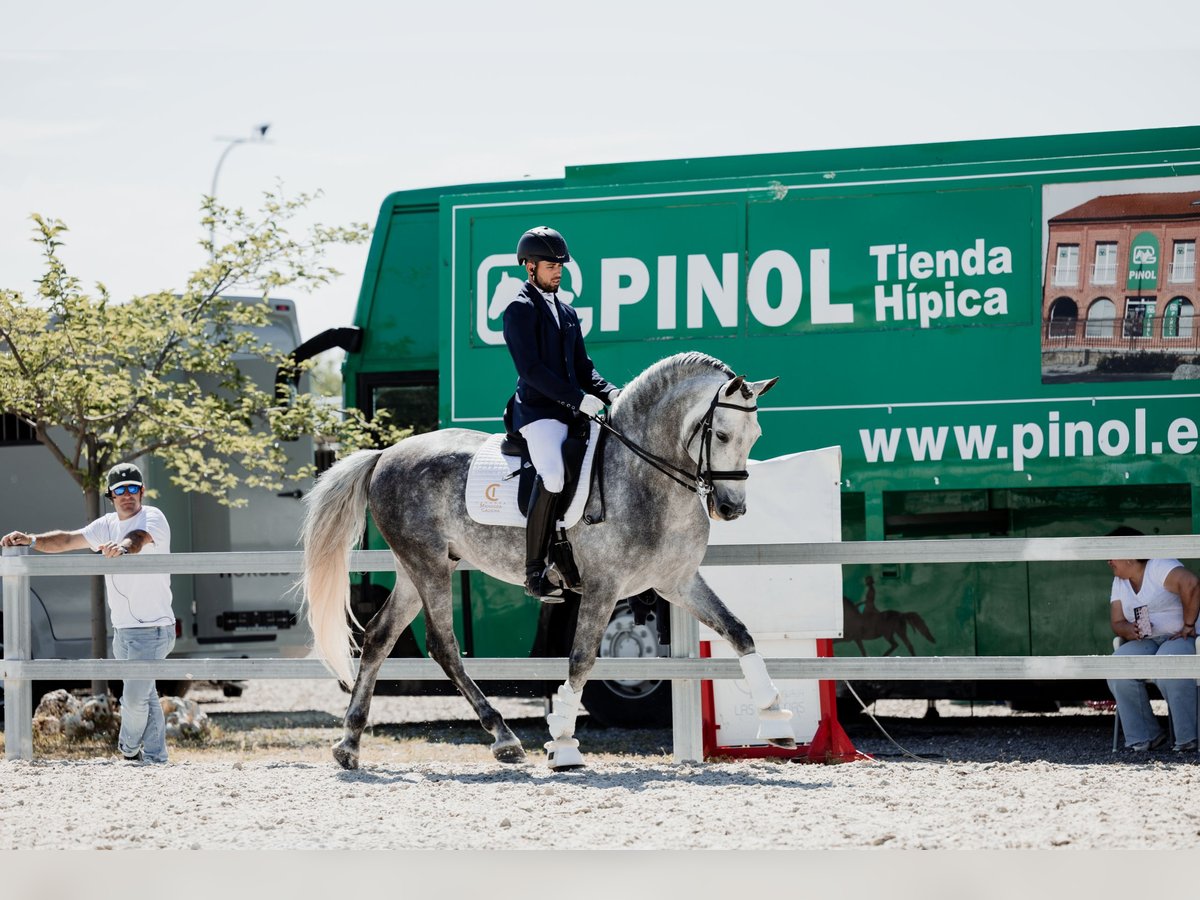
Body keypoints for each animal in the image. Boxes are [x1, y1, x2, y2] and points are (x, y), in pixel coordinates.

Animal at [302, 348, 796, 772]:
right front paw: (562, 743)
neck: (644, 475)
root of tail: (387, 453)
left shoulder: (678, 581)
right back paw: (503, 737)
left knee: (379, 637)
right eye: (722, 434)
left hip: (416, 569)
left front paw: (776, 719)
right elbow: (580, 659)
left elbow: (739, 632)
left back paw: (349, 745)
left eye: (755, 436)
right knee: (443, 645)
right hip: (428, 566)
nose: (731, 508)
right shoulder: (602, 587)